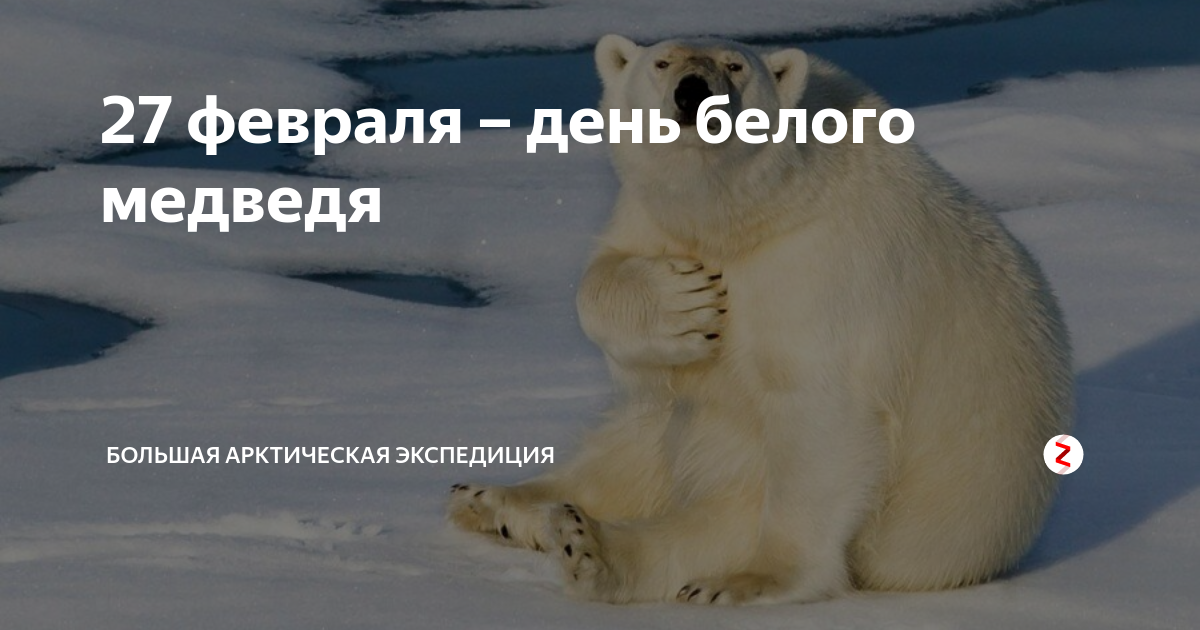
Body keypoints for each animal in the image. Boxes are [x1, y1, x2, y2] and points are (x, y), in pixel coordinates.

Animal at [448, 34, 1073, 605]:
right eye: (662, 62)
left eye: (733, 67)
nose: (692, 92)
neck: (748, 214)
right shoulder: (652, 218)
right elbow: (604, 281)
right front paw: (685, 302)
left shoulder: (822, 270)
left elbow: (821, 414)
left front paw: (755, 578)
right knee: (637, 438)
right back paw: (496, 500)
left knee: (721, 518)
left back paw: (593, 546)